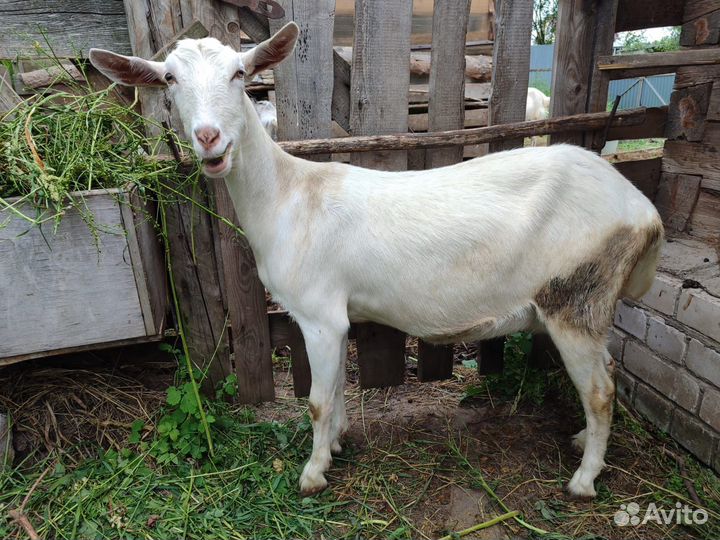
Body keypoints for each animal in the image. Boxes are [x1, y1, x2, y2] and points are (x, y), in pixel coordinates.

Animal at [90, 22, 663, 499]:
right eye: (169, 78)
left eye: (239, 73)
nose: (209, 138)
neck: (289, 197)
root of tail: (643, 210)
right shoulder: (337, 318)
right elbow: (338, 390)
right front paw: (337, 444)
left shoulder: (319, 315)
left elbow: (318, 400)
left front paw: (313, 474)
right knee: (607, 376)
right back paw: (580, 441)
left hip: (575, 298)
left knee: (600, 390)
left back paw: (584, 480)